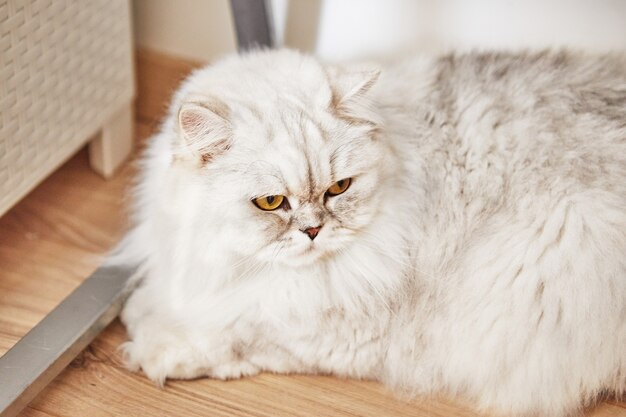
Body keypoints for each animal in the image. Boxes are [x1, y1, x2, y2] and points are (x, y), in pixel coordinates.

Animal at [117, 48, 624, 412]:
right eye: (271, 203)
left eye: (339, 188)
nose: (314, 231)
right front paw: (142, 307)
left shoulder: (338, 333)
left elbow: (236, 335)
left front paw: (150, 344)